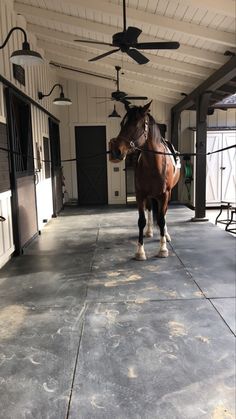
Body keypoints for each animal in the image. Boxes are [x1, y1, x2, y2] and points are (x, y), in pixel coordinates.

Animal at [109, 100, 180, 260]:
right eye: (122, 124)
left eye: (136, 124)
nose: (116, 151)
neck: (154, 164)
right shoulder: (140, 194)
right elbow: (141, 220)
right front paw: (140, 251)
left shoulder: (165, 194)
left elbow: (161, 219)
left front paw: (163, 249)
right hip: (149, 196)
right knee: (150, 209)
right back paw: (149, 232)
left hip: (166, 195)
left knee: (163, 214)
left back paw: (165, 235)